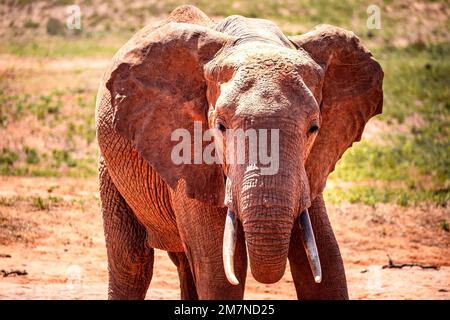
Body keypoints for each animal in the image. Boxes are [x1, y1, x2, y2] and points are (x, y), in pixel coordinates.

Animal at [96, 5, 384, 300]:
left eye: (314, 128)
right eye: (220, 127)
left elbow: (328, 262)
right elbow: (218, 274)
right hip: (110, 171)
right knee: (131, 265)